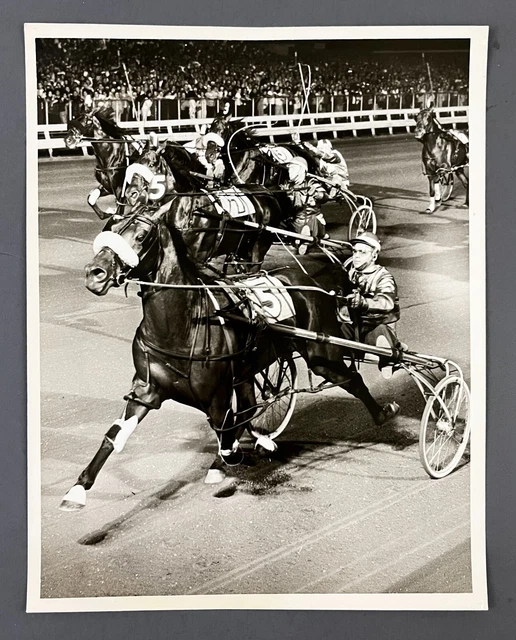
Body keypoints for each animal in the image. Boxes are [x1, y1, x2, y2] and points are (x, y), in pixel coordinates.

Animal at [59, 205, 400, 510]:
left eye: (141, 235)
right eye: (110, 227)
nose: (95, 274)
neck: (185, 323)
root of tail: (318, 282)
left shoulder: (217, 395)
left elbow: (227, 441)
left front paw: (235, 455)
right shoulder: (147, 390)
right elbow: (114, 436)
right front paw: (77, 489)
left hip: (321, 354)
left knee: (352, 379)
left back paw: (383, 413)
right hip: (251, 367)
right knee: (252, 403)